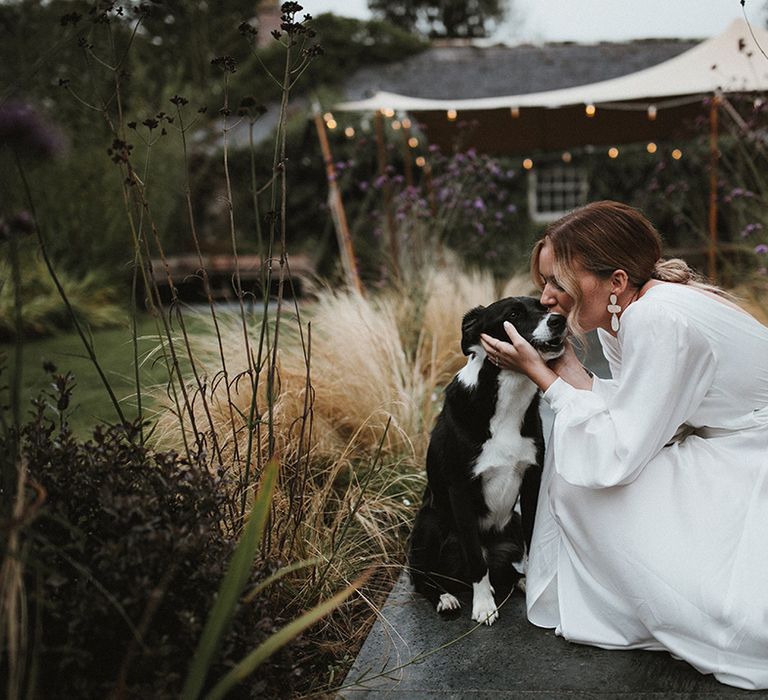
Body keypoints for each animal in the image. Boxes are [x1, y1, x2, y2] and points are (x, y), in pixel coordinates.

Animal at [412, 298, 568, 628]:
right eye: (513, 314)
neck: (507, 396)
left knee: (503, 567)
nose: (559, 320)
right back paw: (445, 596)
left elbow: (532, 540)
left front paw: (530, 585)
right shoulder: (460, 489)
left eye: (543, 305)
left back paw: (518, 580)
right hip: (431, 521)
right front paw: (483, 605)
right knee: (420, 576)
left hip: (513, 523)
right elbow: (475, 556)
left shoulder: (531, 481)